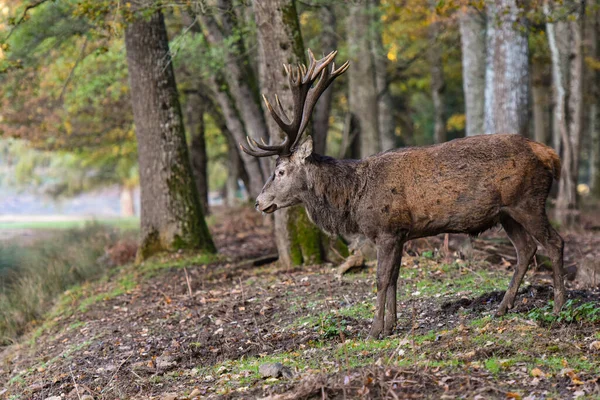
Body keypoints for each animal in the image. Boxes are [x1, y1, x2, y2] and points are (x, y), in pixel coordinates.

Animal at [240, 49, 568, 338]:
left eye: (281, 171)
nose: (258, 202)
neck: (352, 200)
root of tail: (551, 155)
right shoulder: (399, 233)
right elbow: (395, 277)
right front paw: (391, 326)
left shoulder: (386, 229)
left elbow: (381, 279)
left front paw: (374, 331)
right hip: (506, 213)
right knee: (526, 249)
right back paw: (502, 308)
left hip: (528, 201)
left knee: (555, 243)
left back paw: (558, 308)